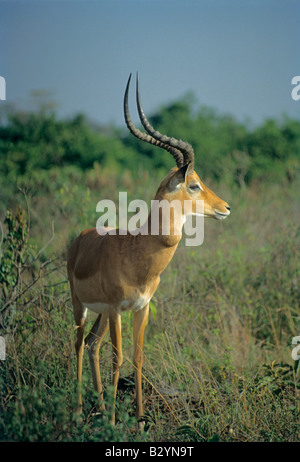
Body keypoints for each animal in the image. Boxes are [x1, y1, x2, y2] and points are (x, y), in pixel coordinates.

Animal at [66, 72, 230, 430]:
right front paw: (117, 421)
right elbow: (119, 357)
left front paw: (140, 418)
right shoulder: (117, 309)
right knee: (78, 344)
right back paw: (79, 411)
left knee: (93, 344)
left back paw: (99, 408)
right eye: (193, 184)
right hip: (81, 306)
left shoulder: (142, 308)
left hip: (100, 313)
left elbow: (138, 356)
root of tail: (80, 238)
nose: (225, 207)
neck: (138, 252)